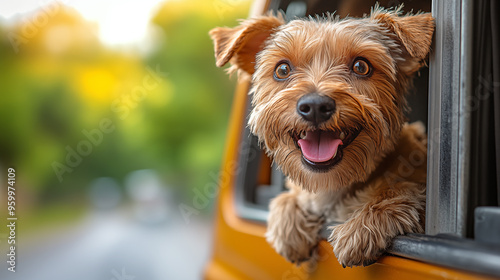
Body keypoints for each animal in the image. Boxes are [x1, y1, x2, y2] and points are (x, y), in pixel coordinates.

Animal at [210, 6, 434, 266]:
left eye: (361, 67)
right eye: (282, 70)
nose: (315, 106)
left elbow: (402, 190)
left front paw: (360, 229)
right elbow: (287, 198)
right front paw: (289, 227)